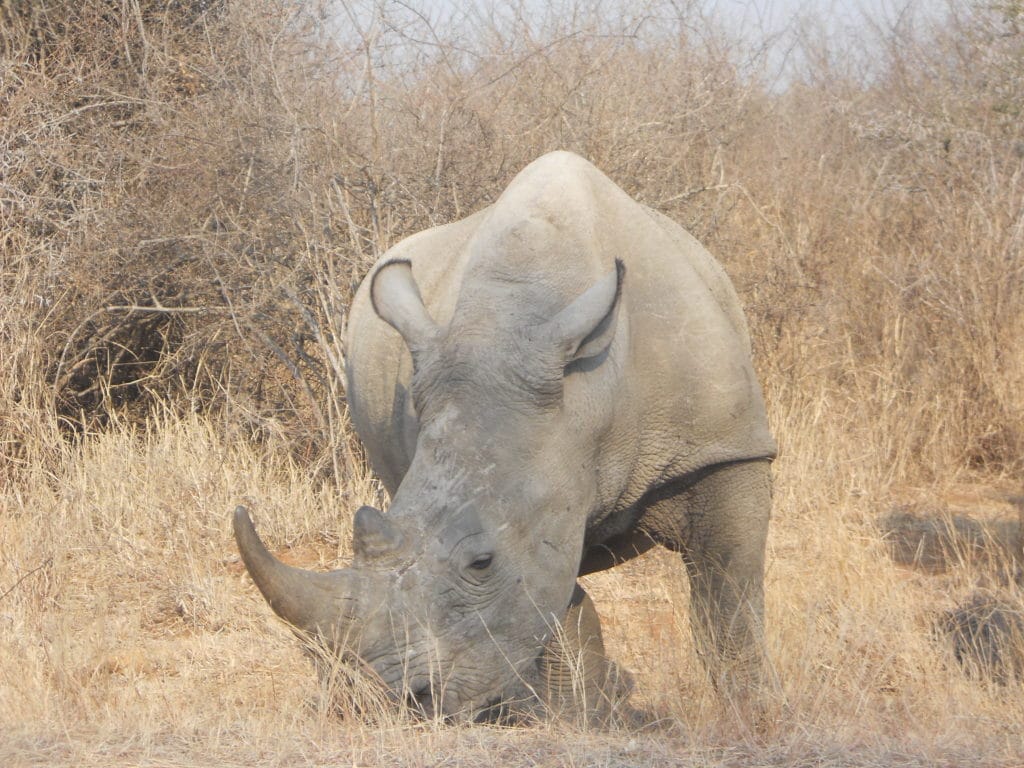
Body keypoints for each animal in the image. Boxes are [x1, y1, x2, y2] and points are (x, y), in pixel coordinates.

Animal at [234, 150, 774, 720]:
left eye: (482, 562)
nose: (395, 703)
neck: (588, 402)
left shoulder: (725, 450)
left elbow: (729, 604)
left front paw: (756, 713)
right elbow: (552, 604)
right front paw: (575, 717)